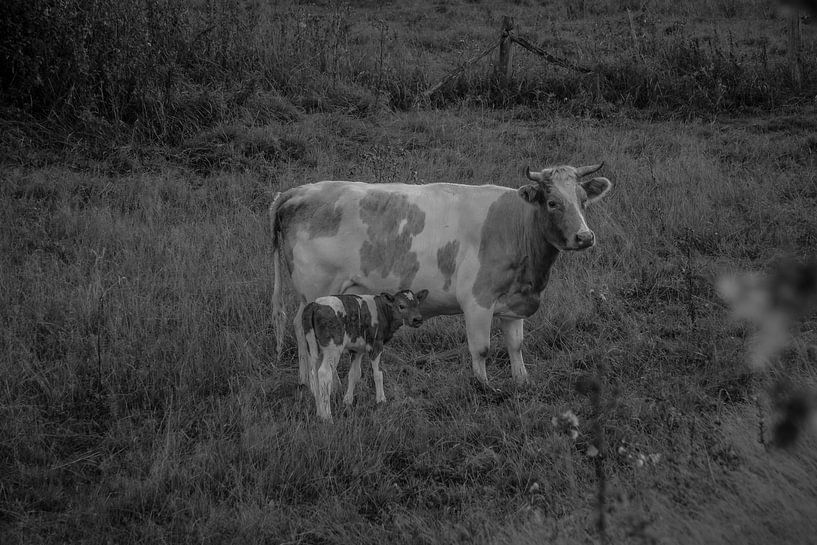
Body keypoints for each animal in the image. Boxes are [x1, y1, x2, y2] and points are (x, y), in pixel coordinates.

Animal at [272, 162, 612, 386]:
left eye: (583, 201)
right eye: (553, 202)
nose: (585, 237)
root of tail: (297, 191)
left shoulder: (514, 302)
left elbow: (515, 345)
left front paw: (522, 381)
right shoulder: (477, 301)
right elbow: (482, 349)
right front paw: (483, 387)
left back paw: (304, 381)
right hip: (314, 291)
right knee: (301, 328)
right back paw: (309, 381)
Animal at [300, 288, 428, 420]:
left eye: (417, 304)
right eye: (401, 306)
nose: (418, 319)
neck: (382, 311)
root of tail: (315, 304)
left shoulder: (357, 350)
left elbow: (354, 374)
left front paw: (348, 401)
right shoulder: (376, 344)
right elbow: (378, 374)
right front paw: (381, 400)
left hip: (313, 348)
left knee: (314, 373)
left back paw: (319, 413)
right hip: (333, 348)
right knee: (324, 374)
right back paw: (327, 417)